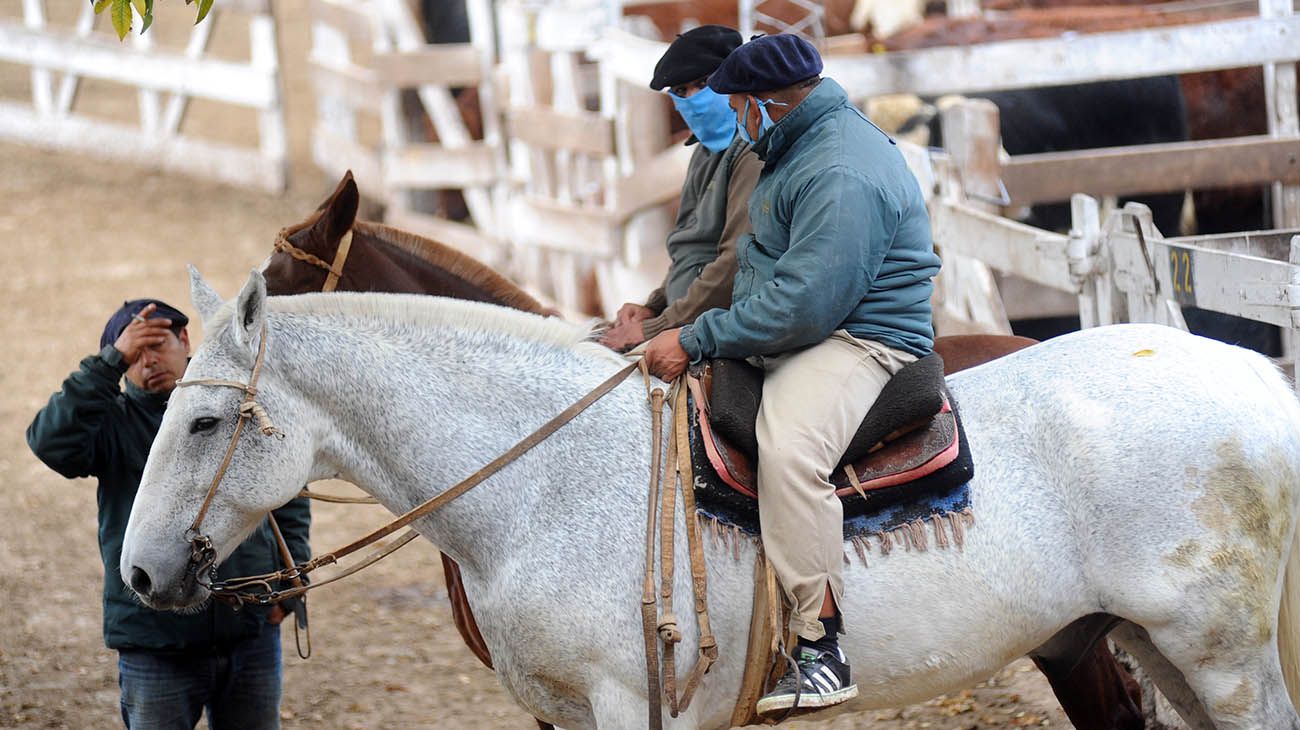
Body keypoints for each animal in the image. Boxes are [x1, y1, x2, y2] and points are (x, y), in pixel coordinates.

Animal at [124, 268, 1300, 727]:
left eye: (203, 423)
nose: (138, 571)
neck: (543, 482)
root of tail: (1255, 374)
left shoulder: (635, 705)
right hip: (1145, 642)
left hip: (1220, 656)